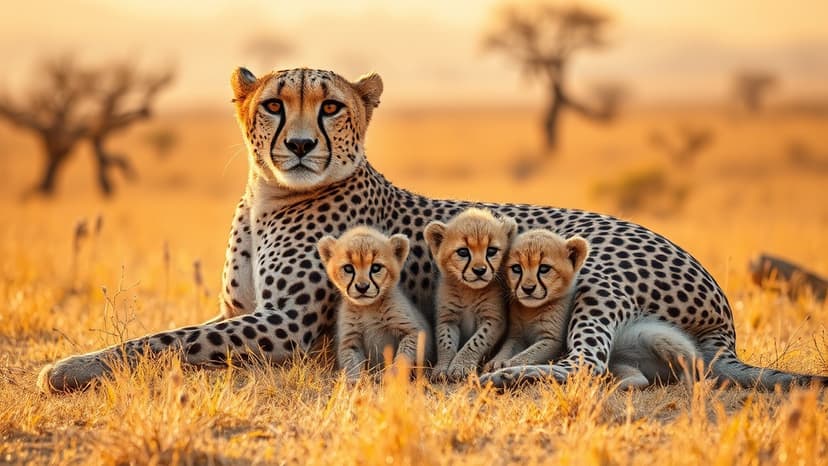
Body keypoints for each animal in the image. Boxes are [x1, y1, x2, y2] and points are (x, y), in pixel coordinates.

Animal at [317, 226, 433, 382]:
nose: (362, 287)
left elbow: (402, 356)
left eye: (376, 267)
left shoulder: (412, 332)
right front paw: (353, 382)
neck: (368, 308)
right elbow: (351, 363)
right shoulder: (349, 341)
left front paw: (392, 377)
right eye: (348, 268)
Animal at [424, 208, 516, 382]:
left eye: (491, 251)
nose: (480, 270)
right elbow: (445, 342)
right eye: (463, 252)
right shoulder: (447, 318)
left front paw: (460, 366)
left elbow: (476, 342)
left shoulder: (494, 318)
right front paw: (442, 367)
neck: (468, 290)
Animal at [486, 229, 699, 389]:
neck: (531, 310)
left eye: (544, 268)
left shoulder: (552, 341)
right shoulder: (515, 335)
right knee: (635, 377)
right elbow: (508, 348)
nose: (528, 289)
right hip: (621, 361)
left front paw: (507, 366)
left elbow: (530, 354)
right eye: (516, 268)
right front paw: (497, 362)